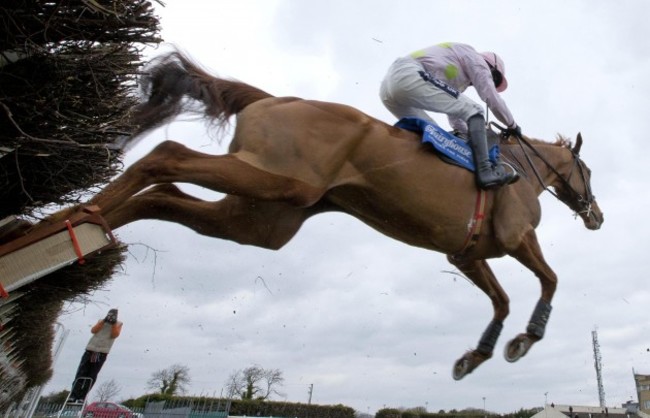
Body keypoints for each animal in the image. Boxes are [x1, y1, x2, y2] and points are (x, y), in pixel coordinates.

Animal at [40, 51, 600, 378]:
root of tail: (272, 98)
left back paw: (68, 225)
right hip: (280, 181)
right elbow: (550, 281)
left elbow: (501, 301)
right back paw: (72, 223)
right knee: (167, 155)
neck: (520, 169)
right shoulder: (518, 237)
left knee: (159, 195)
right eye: (589, 171)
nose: (596, 217)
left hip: (259, 219)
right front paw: (526, 339)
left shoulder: (466, 254)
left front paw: (475, 356)